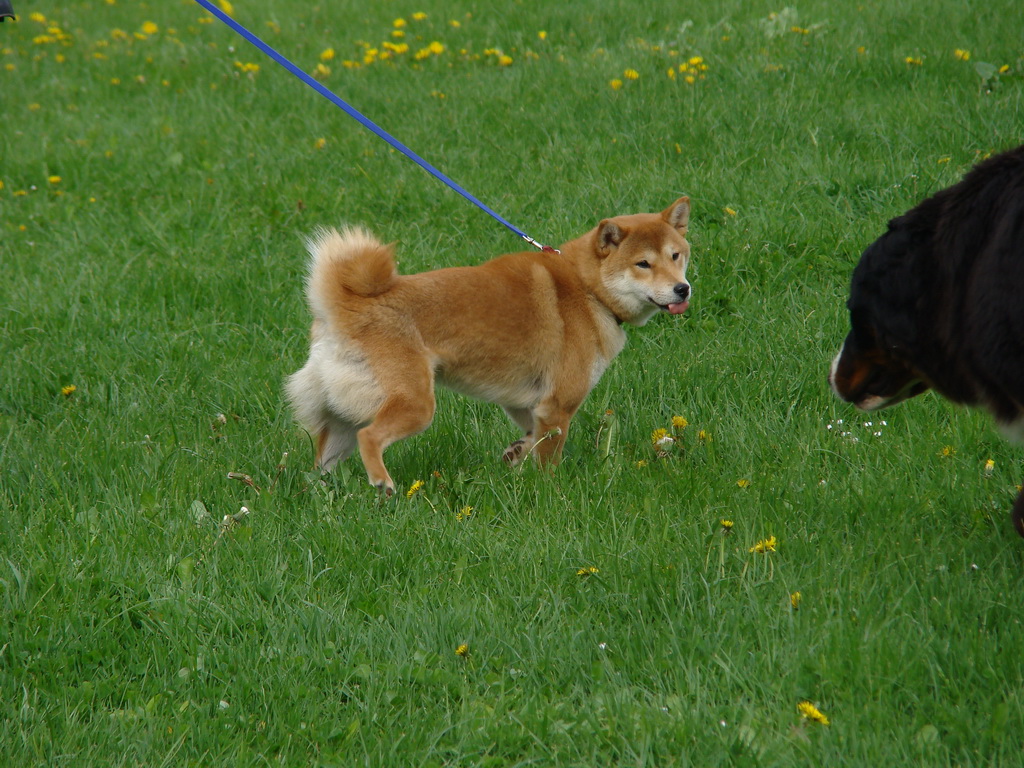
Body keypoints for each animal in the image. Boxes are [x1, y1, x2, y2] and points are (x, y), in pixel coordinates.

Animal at [284, 199, 692, 493]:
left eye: (676, 255)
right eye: (643, 264)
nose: (682, 289)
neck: (587, 287)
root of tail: (346, 305)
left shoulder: (528, 403)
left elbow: (531, 436)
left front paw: (516, 454)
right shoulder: (558, 405)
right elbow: (549, 456)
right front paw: (549, 491)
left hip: (343, 415)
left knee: (322, 464)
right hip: (415, 405)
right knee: (370, 437)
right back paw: (383, 483)